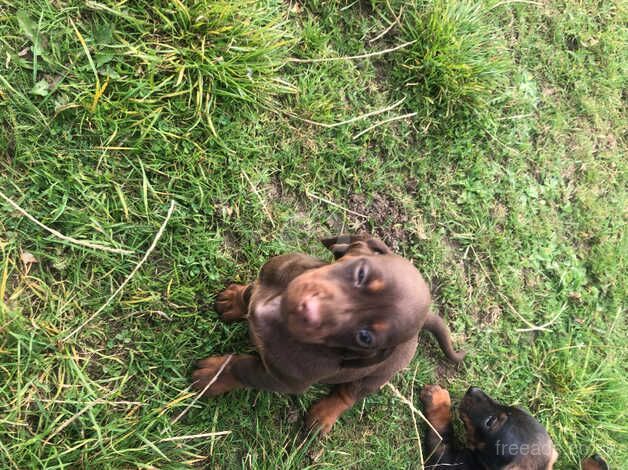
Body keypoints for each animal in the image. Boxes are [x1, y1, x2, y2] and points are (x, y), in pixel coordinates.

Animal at [191, 235, 466, 434]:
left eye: (365, 337)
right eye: (362, 273)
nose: (308, 311)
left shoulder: (281, 380)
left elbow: (242, 368)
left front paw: (214, 376)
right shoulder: (266, 279)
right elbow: (248, 293)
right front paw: (233, 301)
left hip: (376, 376)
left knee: (349, 394)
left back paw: (324, 415)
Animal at [422, 386, 608, 470]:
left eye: (491, 422)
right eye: (511, 407)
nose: (473, 389)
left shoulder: (446, 461)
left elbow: (441, 432)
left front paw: (438, 398)